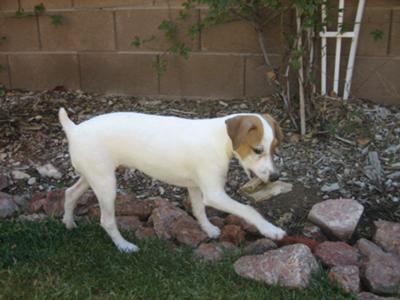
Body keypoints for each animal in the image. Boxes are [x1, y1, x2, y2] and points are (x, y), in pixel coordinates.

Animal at [58, 107, 284, 251]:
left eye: (275, 149)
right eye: (257, 150)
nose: (275, 177)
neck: (220, 139)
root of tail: (74, 129)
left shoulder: (195, 186)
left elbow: (199, 210)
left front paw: (208, 229)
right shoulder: (214, 194)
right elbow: (249, 210)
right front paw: (271, 230)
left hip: (93, 177)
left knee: (70, 193)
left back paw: (68, 223)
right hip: (106, 185)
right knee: (106, 221)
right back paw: (124, 246)